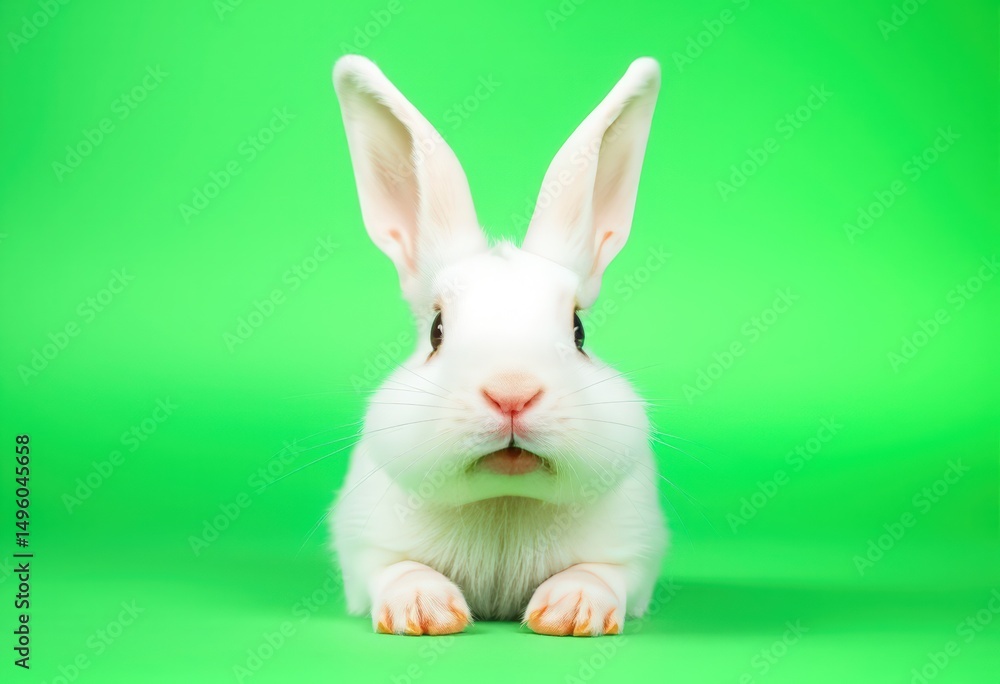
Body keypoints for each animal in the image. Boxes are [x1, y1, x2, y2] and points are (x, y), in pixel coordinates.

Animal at [329, 54, 666, 636]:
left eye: (579, 331)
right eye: (437, 330)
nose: (512, 393)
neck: (505, 500)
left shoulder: (634, 553)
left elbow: (602, 573)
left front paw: (571, 611)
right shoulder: (365, 547)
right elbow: (396, 569)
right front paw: (425, 611)